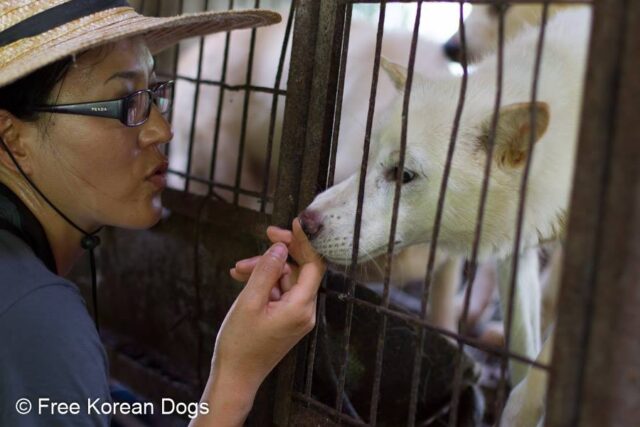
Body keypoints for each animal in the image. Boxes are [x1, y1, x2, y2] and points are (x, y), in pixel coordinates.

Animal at [300, 8, 592, 426]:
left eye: (404, 174)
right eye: (367, 159)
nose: (305, 222)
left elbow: (538, 372)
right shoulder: (517, 250)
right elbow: (523, 350)